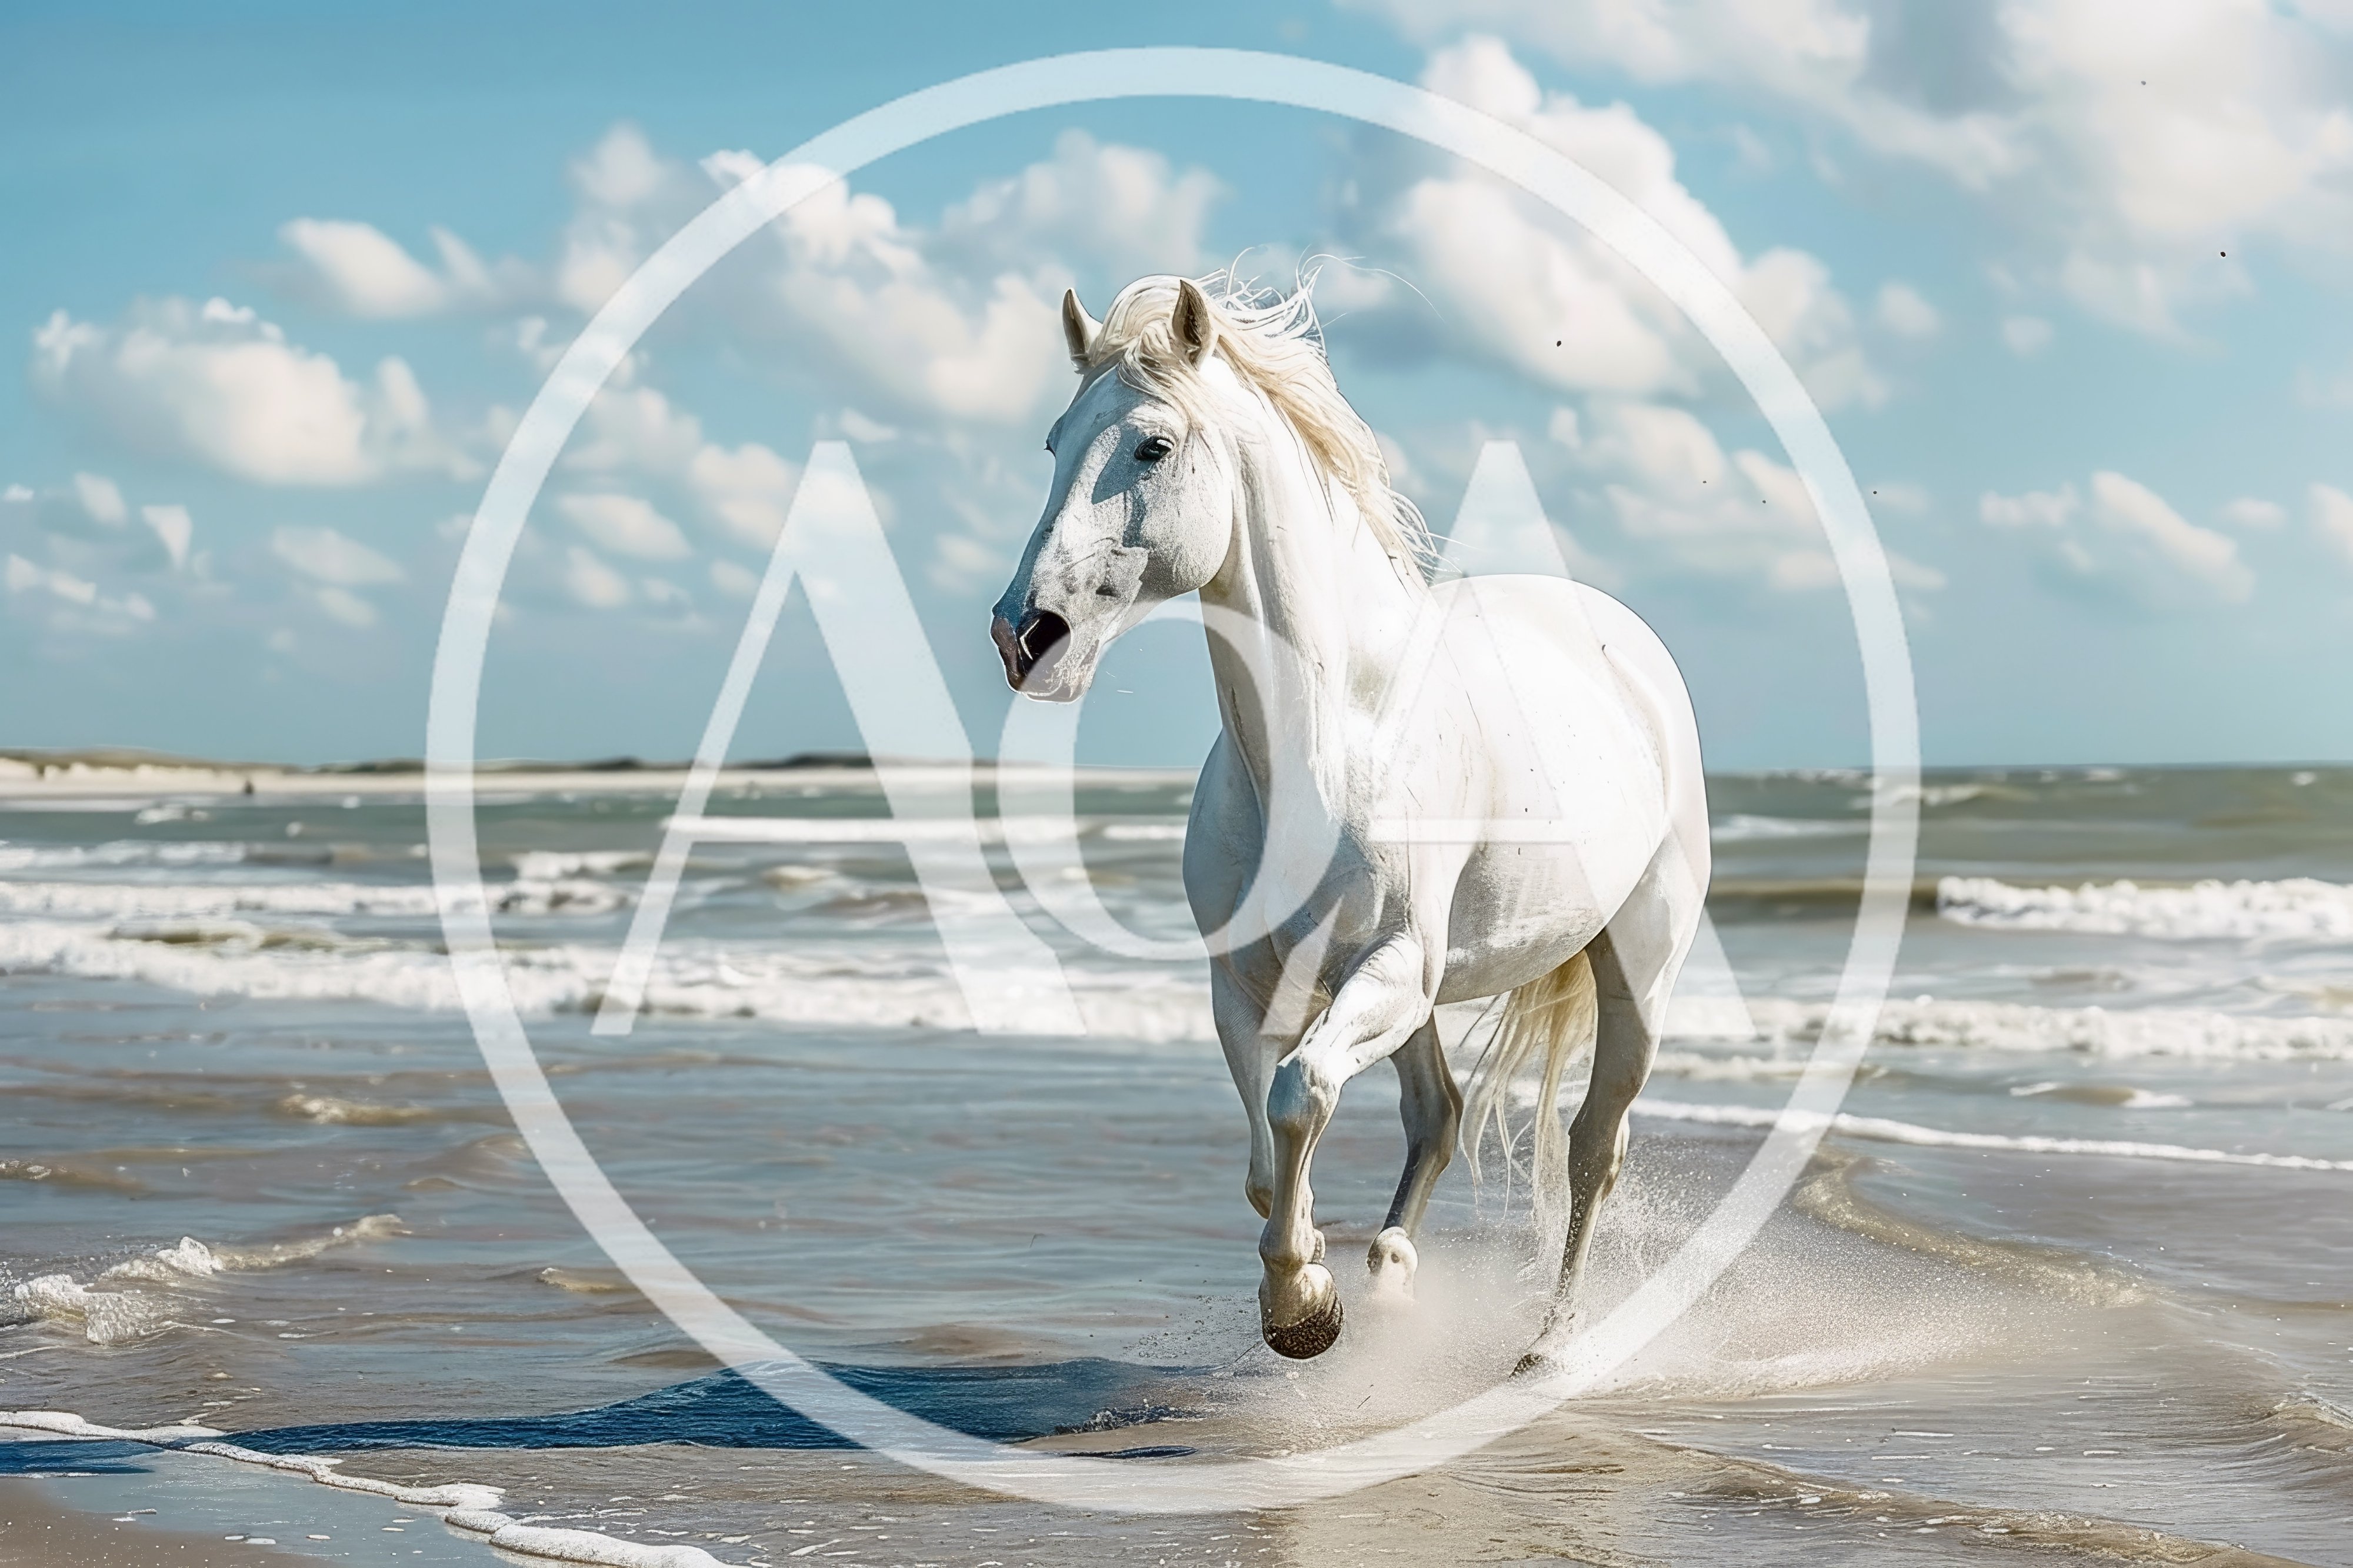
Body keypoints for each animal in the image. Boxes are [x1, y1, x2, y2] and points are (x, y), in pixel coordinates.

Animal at [989, 273, 1710, 1373]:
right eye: (1055, 442)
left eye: (1151, 445)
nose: (1026, 634)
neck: (1330, 740)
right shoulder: (1245, 985)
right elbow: (1264, 1151)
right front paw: (1320, 1290)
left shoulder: (1389, 968)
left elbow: (1301, 1095)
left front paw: (1301, 1306)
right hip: (1422, 1000)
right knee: (1439, 1113)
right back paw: (1397, 1276)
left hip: (1632, 964)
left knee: (1592, 1146)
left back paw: (1547, 1346)